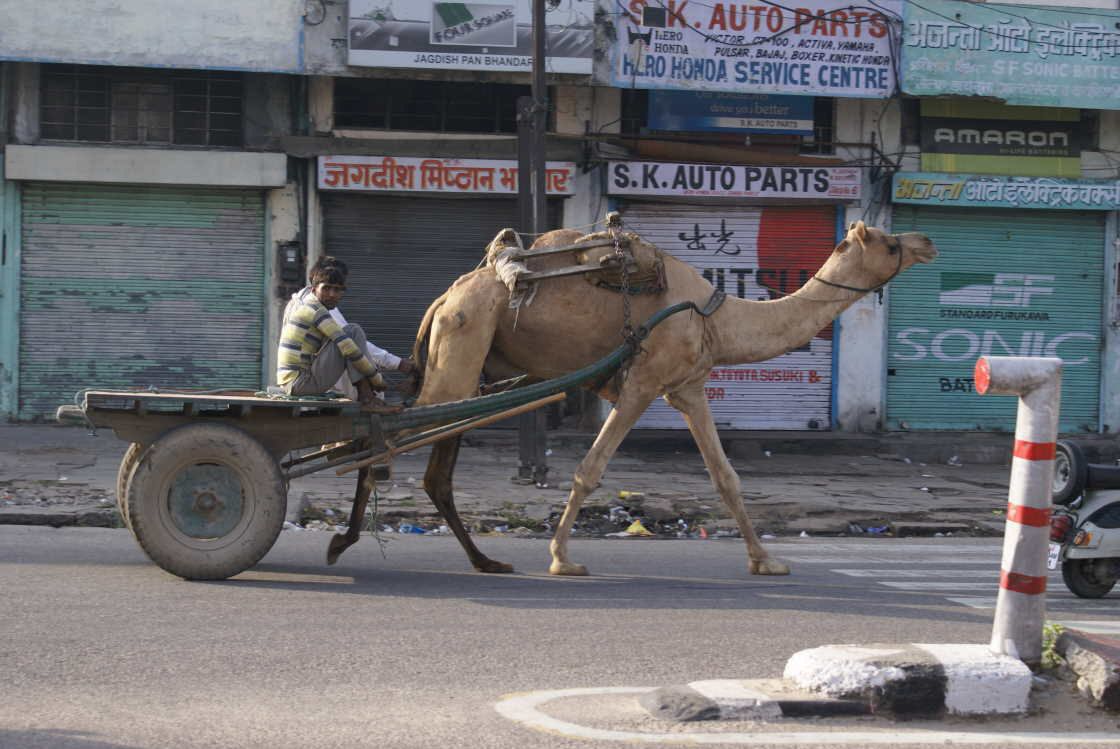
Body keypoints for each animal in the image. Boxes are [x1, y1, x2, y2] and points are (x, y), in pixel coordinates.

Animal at [407, 216, 931, 573]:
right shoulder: (642, 381)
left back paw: (484, 560)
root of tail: (445, 298)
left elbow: (726, 478)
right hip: (463, 341)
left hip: (468, 365)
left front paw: (766, 560)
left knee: (436, 465)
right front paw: (562, 558)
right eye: (888, 243)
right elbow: (588, 469)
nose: (925, 242)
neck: (717, 318)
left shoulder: (688, 388)